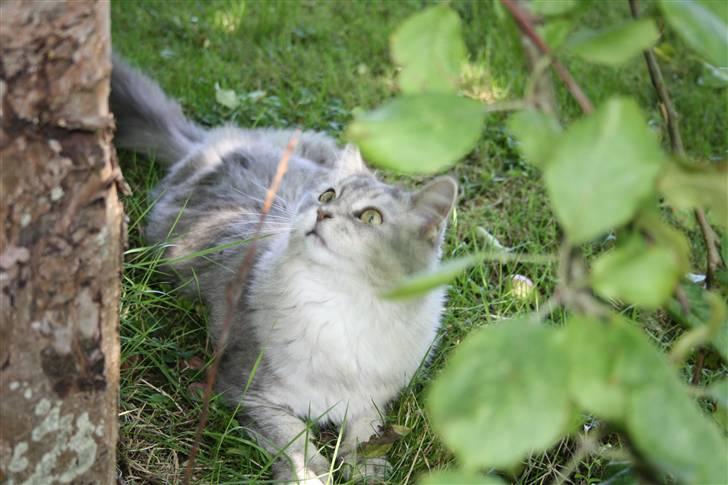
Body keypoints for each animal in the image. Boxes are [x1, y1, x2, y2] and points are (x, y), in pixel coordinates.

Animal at [111, 54, 458, 482]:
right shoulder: (249, 392)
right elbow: (297, 444)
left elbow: (366, 431)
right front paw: (312, 474)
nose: (322, 213)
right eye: (328, 196)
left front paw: (365, 467)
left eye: (371, 218)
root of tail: (213, 146)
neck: (343, 305)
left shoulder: (374, 397)